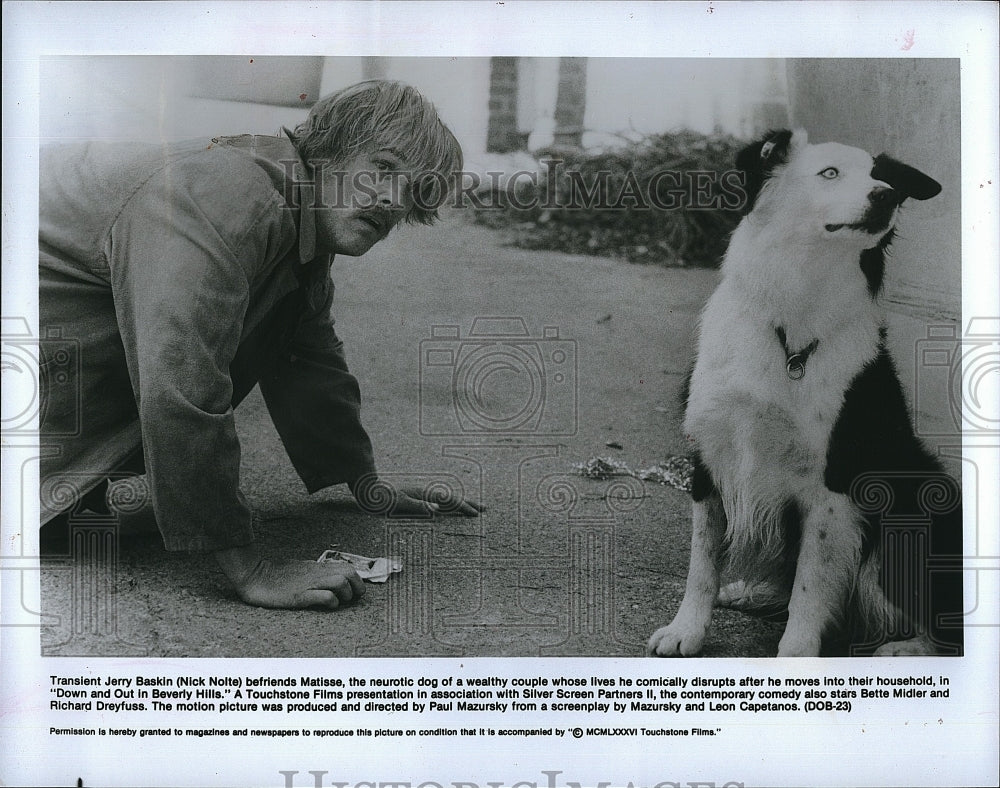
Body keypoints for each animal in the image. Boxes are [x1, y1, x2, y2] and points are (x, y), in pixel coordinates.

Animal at [648, 131, 960, 660]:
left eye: (883, 178)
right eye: (829, 173)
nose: (886, 196)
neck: (793, 323)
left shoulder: (831, 484)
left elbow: (811, 587)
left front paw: (795, 655)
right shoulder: (709, 457)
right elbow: (702, 562)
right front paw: (686, 629)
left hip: (918, 497)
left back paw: (906, 647)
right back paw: (749, 592)